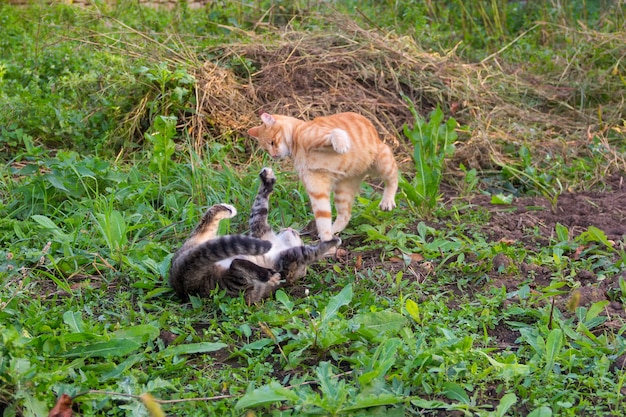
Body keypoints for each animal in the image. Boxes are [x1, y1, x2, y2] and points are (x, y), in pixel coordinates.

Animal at [168, 167, 338, 304]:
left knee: (235, 263)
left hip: (235, 285)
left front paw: (331, 242)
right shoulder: (260, 228)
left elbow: (308, 252)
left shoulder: (289, 260)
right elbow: (260, 205)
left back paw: (266, 274)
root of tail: (182, 283)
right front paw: (267, 182)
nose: (291, 229)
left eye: (300, 239)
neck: (280, 244)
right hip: (200, 245)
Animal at [247, 111, 398, 240]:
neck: (296, 145)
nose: (273, 155)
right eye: (267, 149)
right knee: (345, 215)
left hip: (382, 162)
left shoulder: (319, 134)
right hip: (343, 190)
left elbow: (336, 132)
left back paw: (387, 202)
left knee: (393, 178)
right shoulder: (315, 185)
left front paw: (341, 145)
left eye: (272, 142)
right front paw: (326, 239)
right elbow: (322, 215)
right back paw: (333, 230)